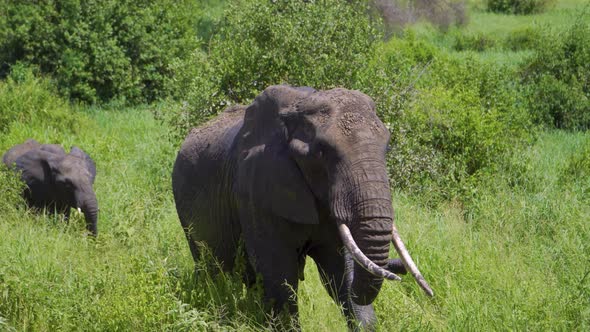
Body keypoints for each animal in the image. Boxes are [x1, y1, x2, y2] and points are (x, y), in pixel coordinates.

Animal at [172, 85, 434, 330]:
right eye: (322, 152)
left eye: (386, 148)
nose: (398, 271)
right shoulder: (256, 185)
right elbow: (279, 272)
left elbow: (340, 270)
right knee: (212, 268)